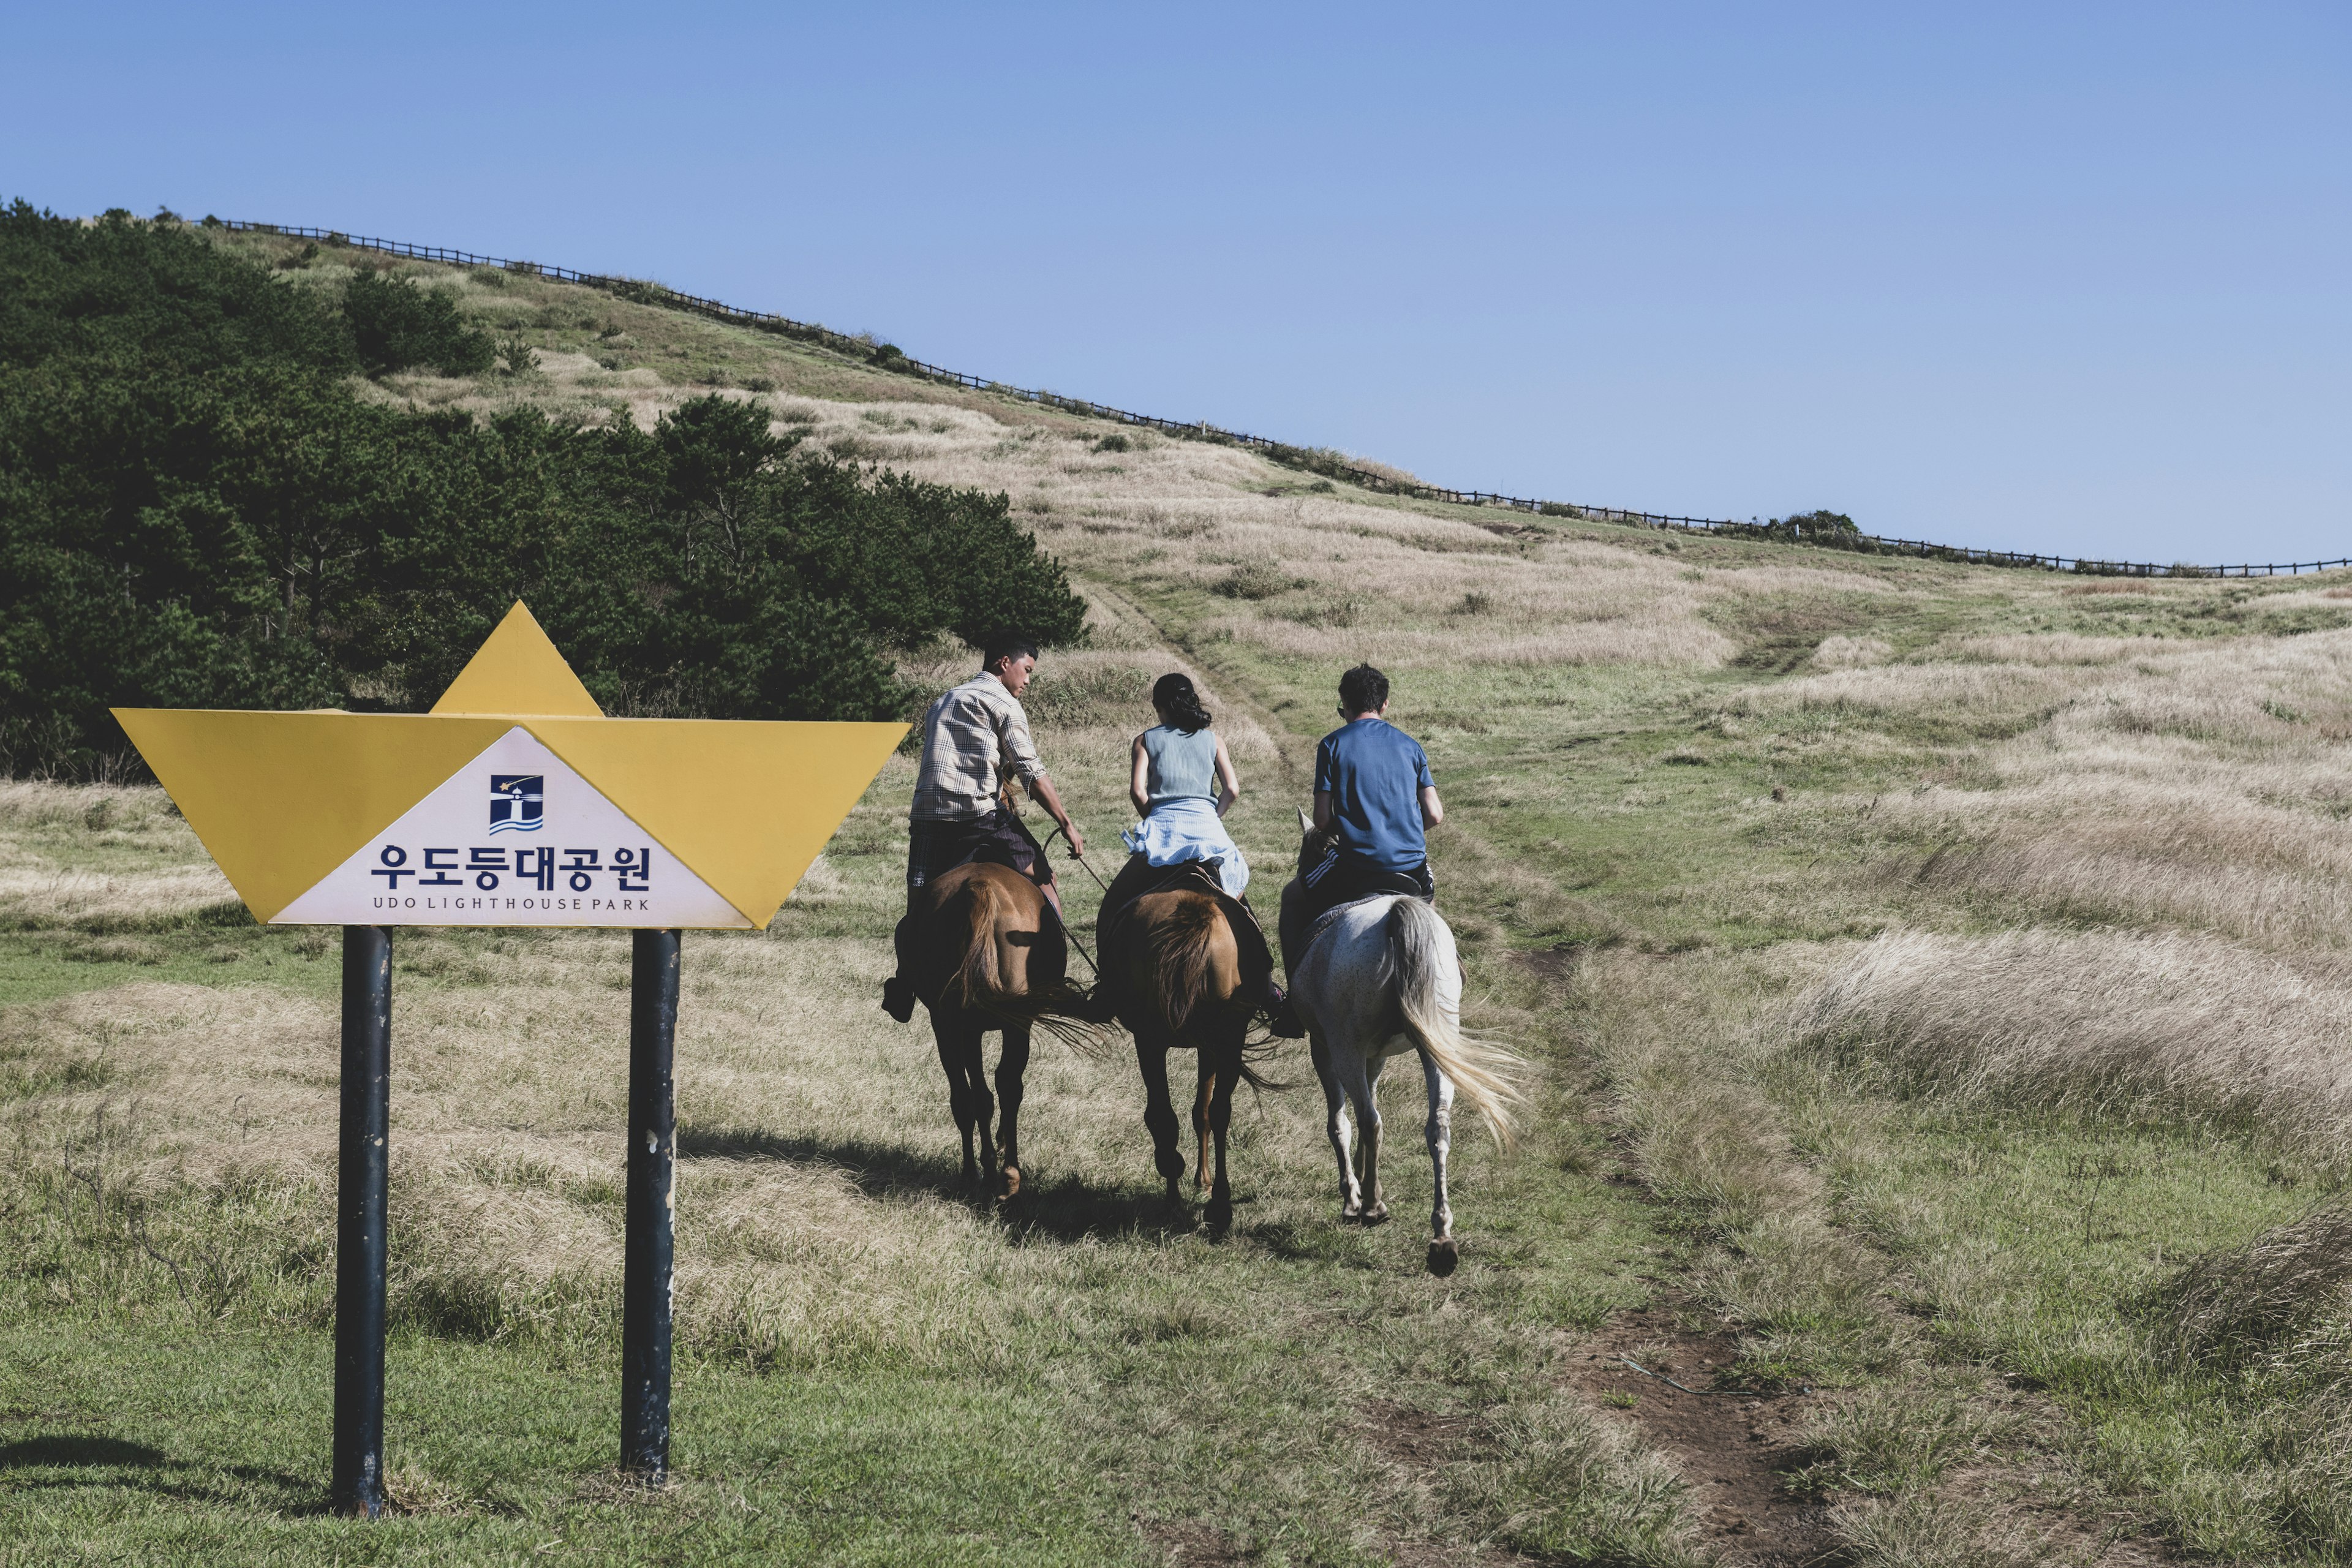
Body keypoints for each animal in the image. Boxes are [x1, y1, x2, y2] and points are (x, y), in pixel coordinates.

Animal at [903, 860, 1087, 1204]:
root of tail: (979, 886)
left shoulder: (967, 1029)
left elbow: (979, 1096)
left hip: (947, 1021)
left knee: (967, 1095)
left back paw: (978, 1175)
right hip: (1008, 1022)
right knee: (1006, 1086)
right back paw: (1006, 1176)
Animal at [1096, 865, 1279, 1232]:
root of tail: (1194, 916)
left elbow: (1191, 1113)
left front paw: (1191, 1177)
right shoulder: (1210, 1044)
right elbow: (1203, 1112)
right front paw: (1200, 1179)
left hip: (1159, 1039)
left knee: (1167, 1115)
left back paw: (1176, 1199)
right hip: (1226, 1036)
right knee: (1216, 1111)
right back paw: (1218, 1206)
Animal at [1289, 818, 1524, 1278]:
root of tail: (1395, 912)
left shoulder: (1326, 1049)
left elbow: (1341, 1122)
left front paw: (1353, 1194)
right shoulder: (1375, 1055)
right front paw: (1364, 1178)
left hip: (1344, 1047)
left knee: (1369, 1119)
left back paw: (1372, 1206)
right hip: (1435, 1047)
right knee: (1438, 1127)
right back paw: (1442, 1237)